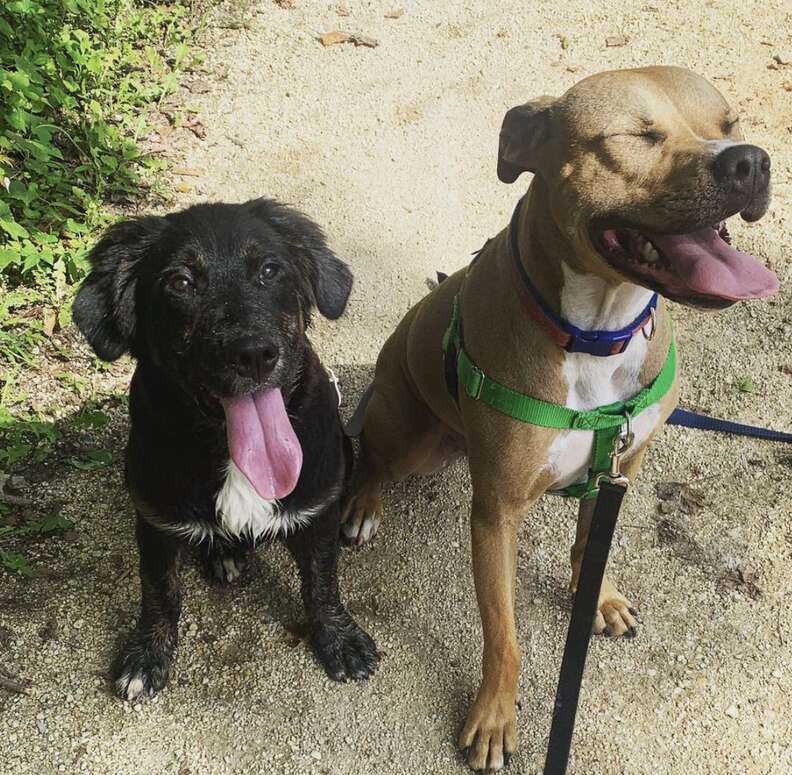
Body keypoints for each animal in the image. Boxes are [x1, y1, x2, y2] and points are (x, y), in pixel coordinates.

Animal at [75, 197, 380, 700]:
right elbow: (159, 592)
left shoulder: (317, 511)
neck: (229, 450)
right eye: (180, 282)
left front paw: (340, 639)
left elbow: (322, 583)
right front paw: (146, 656)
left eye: (270, 270)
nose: (253, 354)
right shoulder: (155, 524)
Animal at [344, 66, 776, 768]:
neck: (595, 331)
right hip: (409, 434)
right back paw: (361, 505)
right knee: (371, 456)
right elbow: (503, 634)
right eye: (637, 136)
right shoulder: (495, 513)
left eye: (729, 124)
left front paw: (597, 598)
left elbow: (587, 544)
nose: (752, 161)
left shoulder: (623, 463)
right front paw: (494, 718)